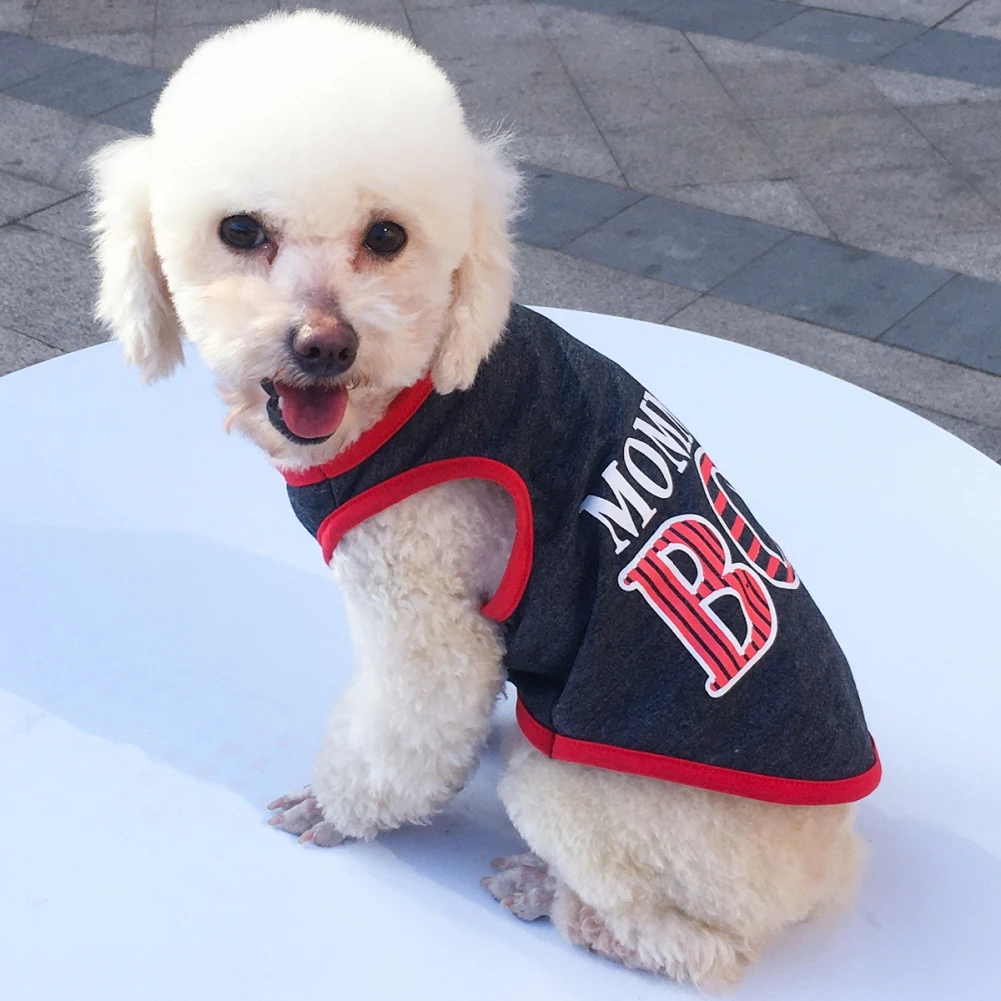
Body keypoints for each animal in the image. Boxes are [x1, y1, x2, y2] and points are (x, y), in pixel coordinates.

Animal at [92, 7, 876, 988]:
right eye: (239, 229)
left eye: (386, 237)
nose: (325, 345)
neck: (410, 387)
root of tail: (829, 860)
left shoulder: (422, 597)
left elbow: (407, 727)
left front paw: (333, 809)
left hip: (586, 799)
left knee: (698, 949)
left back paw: (551, 897)